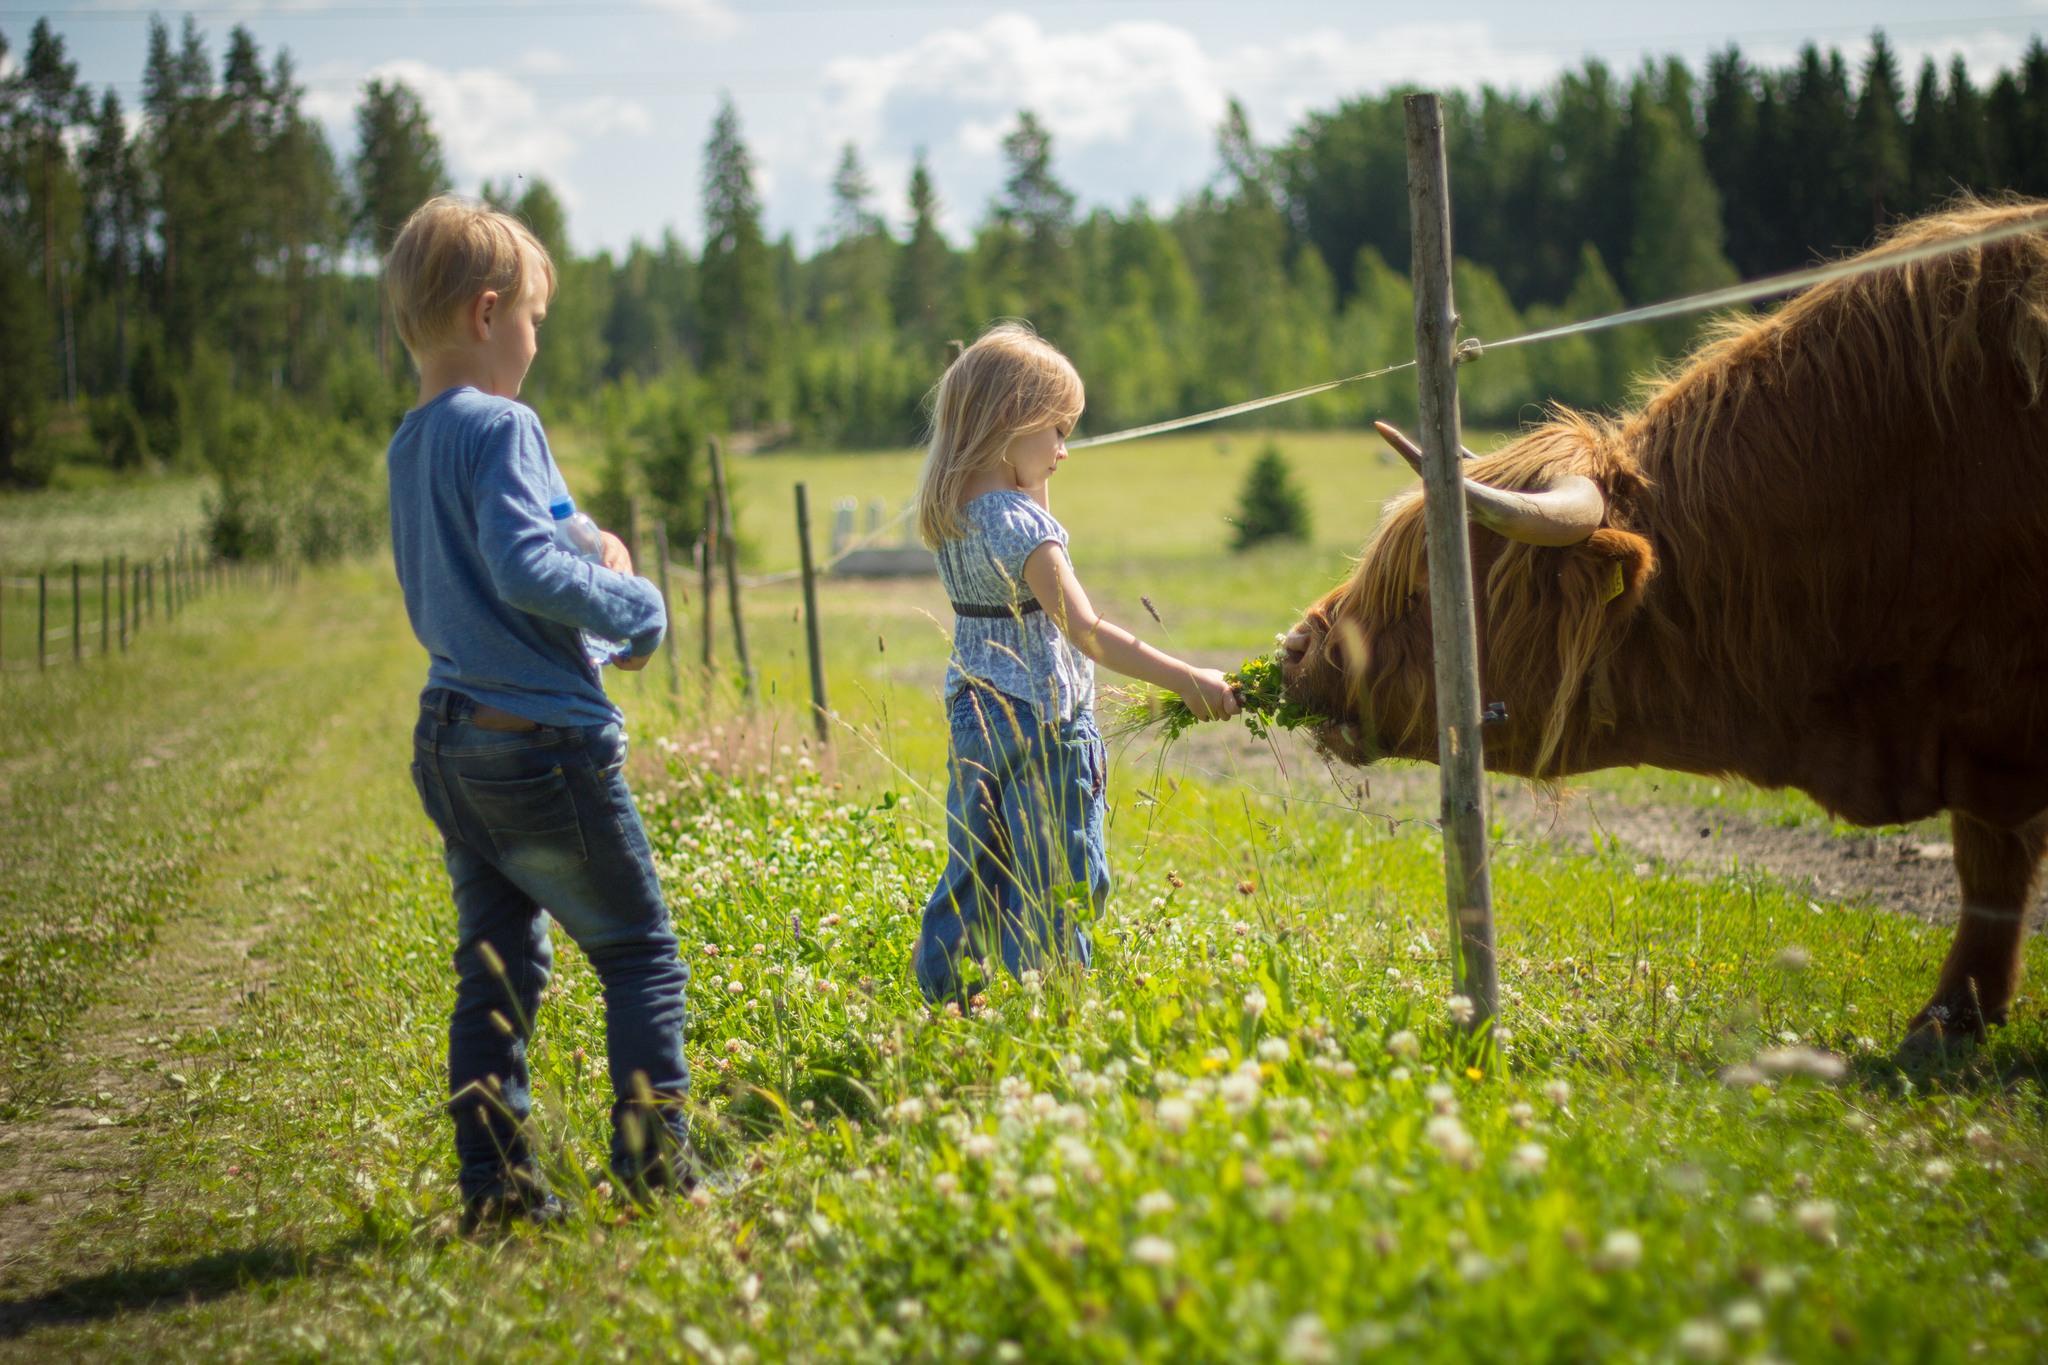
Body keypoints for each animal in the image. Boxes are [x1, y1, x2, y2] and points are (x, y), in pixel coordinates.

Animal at [1277, 197, 2048, 1047]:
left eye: (1424, 584)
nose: (1298, 647)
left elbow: (1990, 860)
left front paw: (1949, 1020)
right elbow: (1991, 862)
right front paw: (1957, 1015)